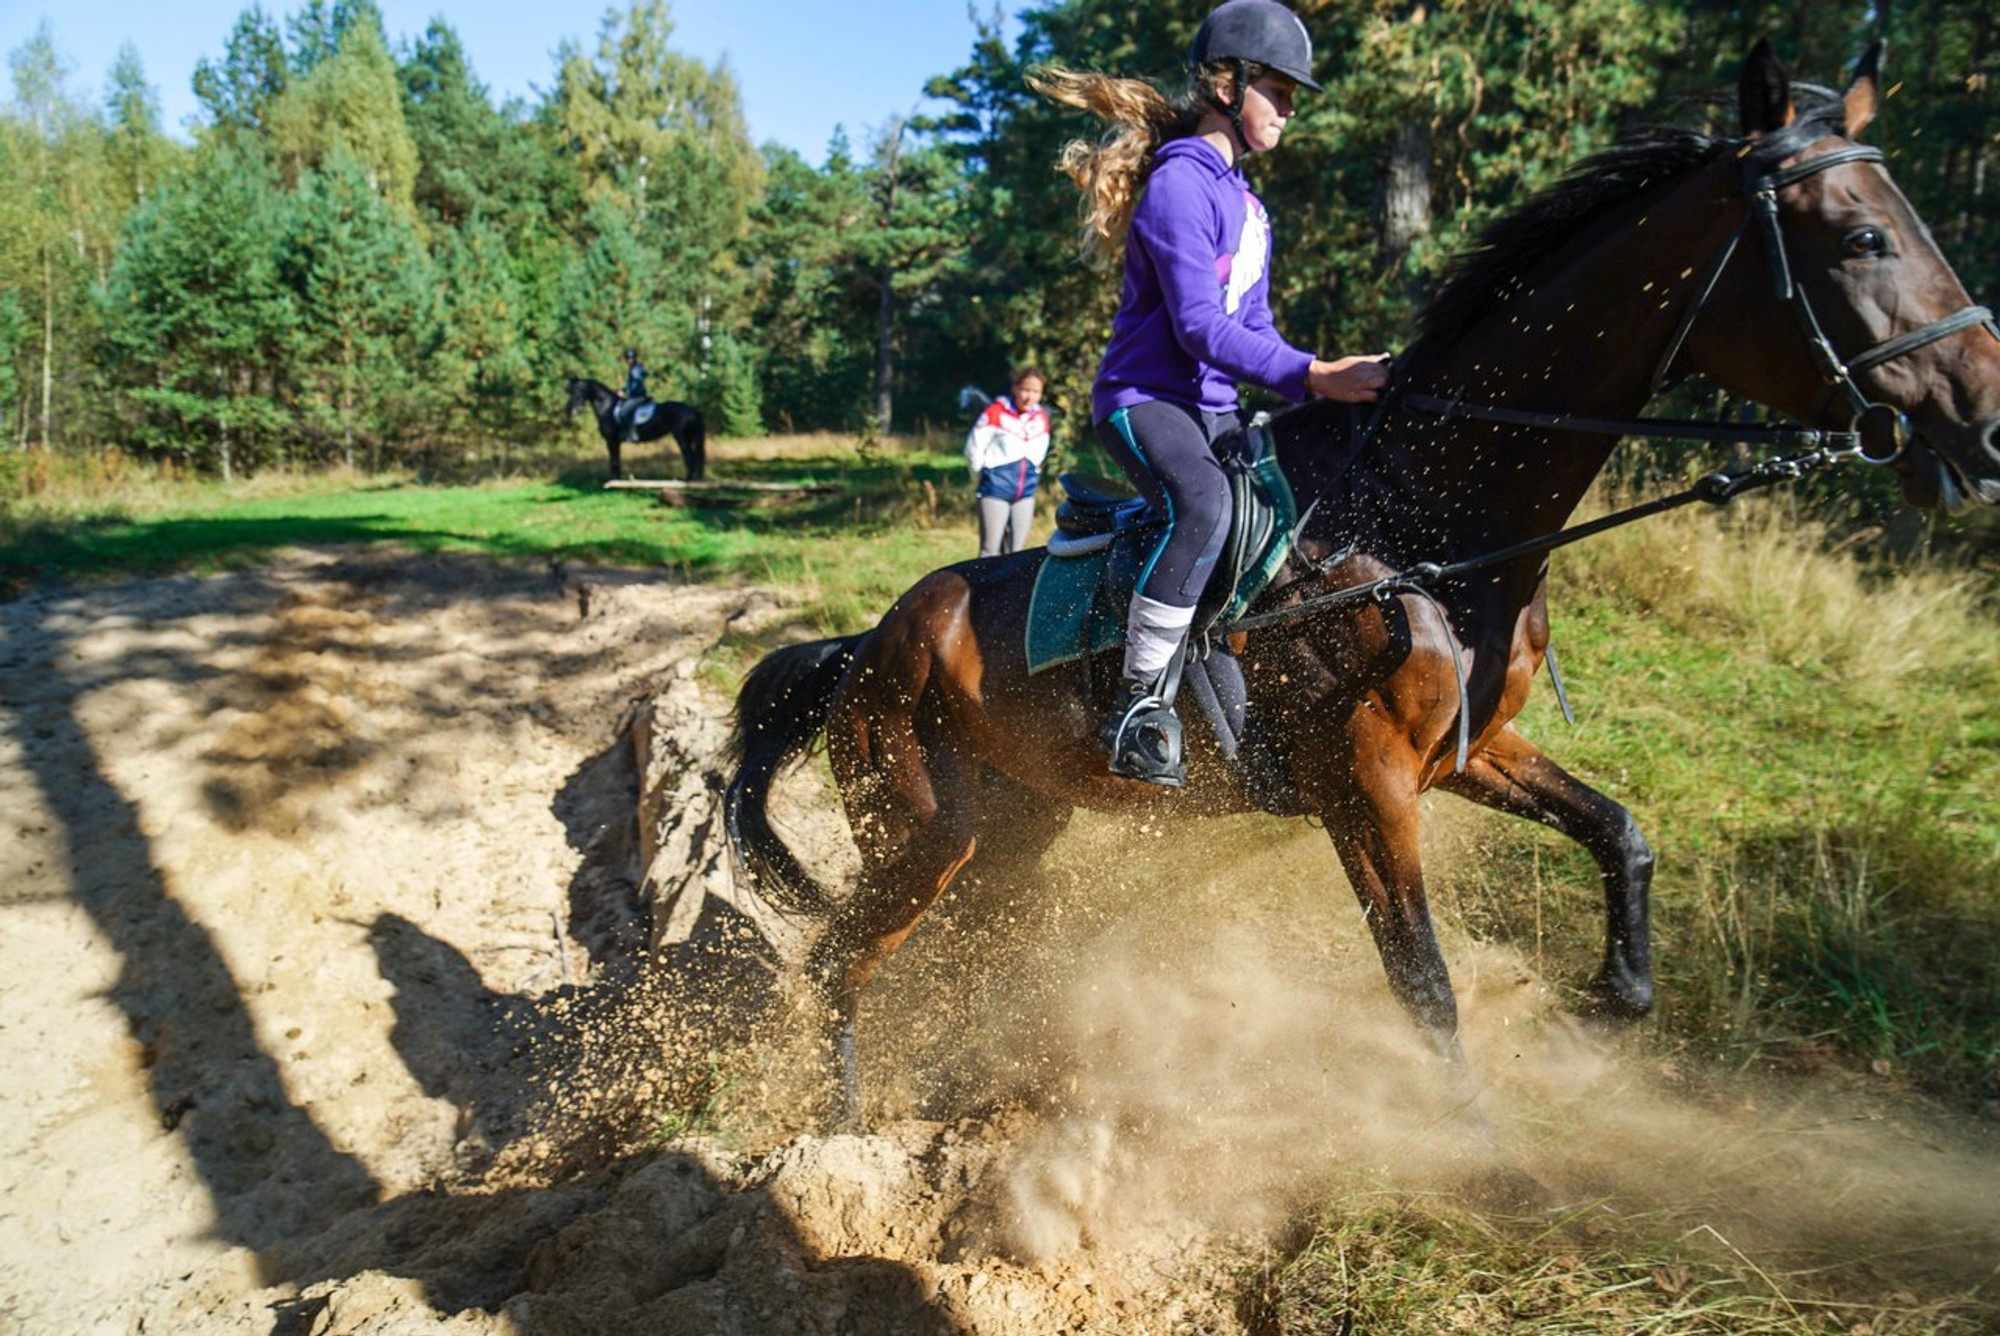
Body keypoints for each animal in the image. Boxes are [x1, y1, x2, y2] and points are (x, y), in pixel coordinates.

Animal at [568, 374, 708, 482]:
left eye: (576, 391)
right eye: (570, 392)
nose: (571, 411)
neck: (607, 408)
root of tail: (694, 410)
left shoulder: (611, 441)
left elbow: (614, 461)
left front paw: (614, 480)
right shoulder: (615, 442)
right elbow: (616, 460)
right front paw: (617, 479)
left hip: (682, 437)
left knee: (689, 455)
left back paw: (687, 480)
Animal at [728, 41, 2000, 1128]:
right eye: (1860, 240)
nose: (1984, 423)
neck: (1423, 521)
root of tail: (864, 644)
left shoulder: (1467, 751)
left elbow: (1620, 833)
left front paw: (1605, 1005)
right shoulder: (1366, 790)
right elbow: (1421, 980)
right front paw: (1485, 1156)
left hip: (1009, 833)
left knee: (947, 959)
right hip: (921, 831)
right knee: (838, 962)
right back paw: (841, 1130)